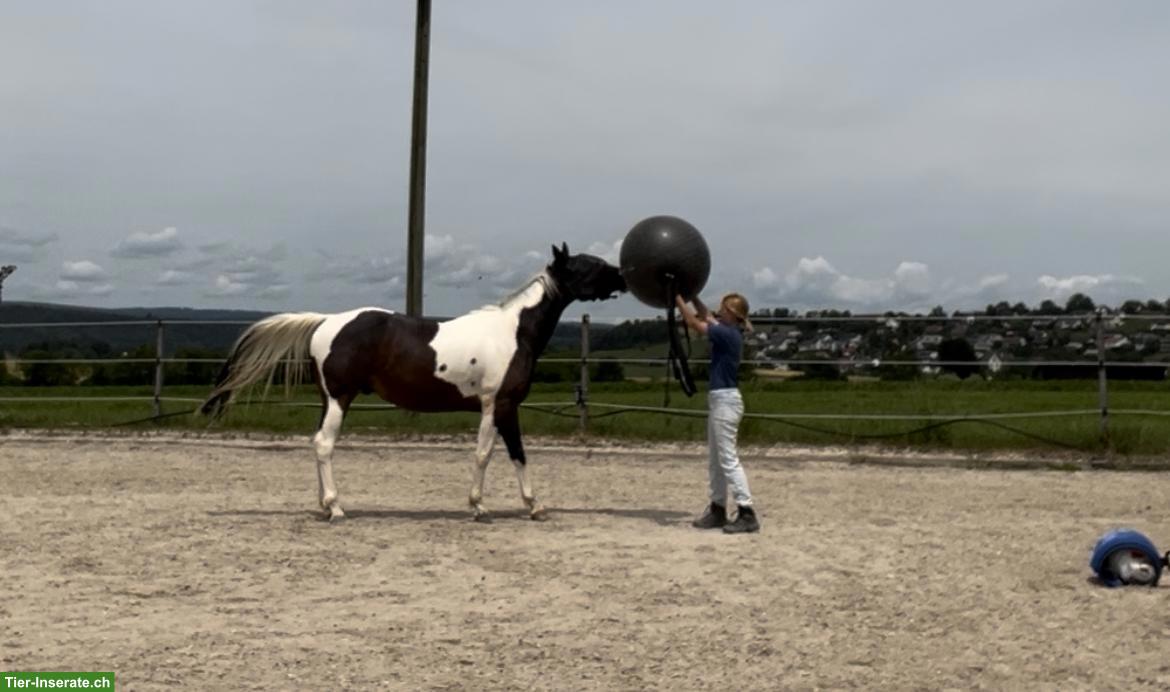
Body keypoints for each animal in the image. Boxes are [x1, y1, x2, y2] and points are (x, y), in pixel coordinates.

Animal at [200, 243, 626, 523]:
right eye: (588, 265)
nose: (623, 275)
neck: (513, 332)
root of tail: (325, 322)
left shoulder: (509, 407)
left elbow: (518, 454)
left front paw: (535, 506)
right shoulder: (496, 403)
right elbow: (485, 454)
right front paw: (479, 506)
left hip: (327, 400)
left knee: (316, 443)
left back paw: (324, 504)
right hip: (340, 398)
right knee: (324, 445)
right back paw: (336, 507)